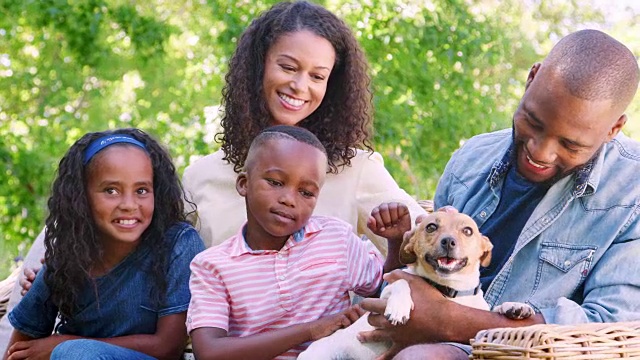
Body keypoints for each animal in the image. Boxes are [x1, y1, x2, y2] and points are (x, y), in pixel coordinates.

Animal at [298, 210, 532, 358]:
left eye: (467, 231)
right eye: (431, 227)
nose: (448, 241)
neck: (449, 290)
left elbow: (495, 309)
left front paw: (514, 307)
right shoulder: (383, 296)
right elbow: (402, 281)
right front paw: (399, 308)